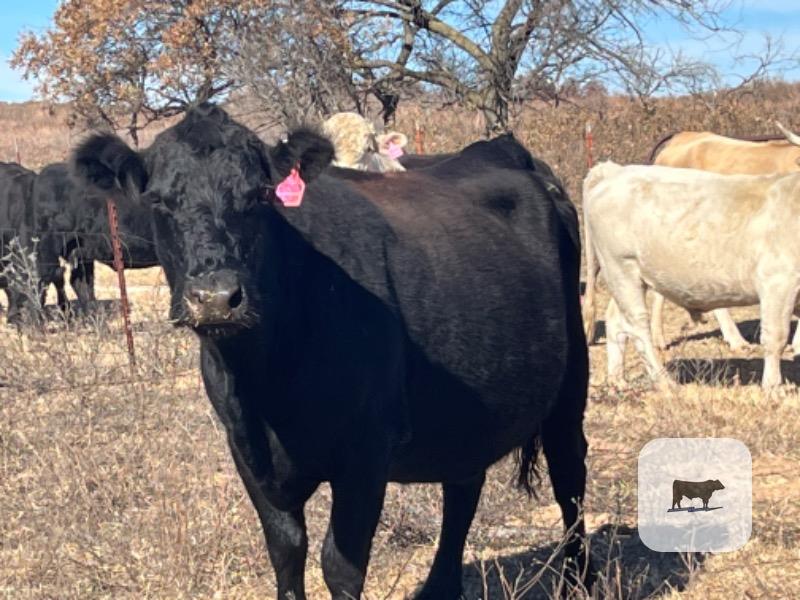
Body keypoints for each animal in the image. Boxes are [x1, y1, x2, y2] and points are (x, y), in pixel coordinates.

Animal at [71, 103, 593, 599]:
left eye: (259, 196)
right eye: (158, 201)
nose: (216, 297)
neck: (266, 380)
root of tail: (500, 148)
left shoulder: (365, 451)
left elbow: (340, 566)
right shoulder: (247, 449)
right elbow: (286, 549)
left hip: (571, 378)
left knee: (569, 476)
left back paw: (577, 583)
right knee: (464, 485)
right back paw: (439, 589)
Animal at [583, 161, 800, 389]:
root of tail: (614, 171)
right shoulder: (778, 282)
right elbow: (776, 338)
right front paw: (773, 388)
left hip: (626, 278)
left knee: (615, 320)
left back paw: (618, 379)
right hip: (622, 269)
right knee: (638, 326)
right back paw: (665, 382)